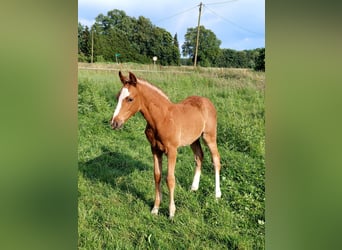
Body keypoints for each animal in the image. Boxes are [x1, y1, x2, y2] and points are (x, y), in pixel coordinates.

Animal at [110, 71, 222, 218]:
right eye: (118, 96)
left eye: (130, 99)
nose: (114, 123)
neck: (161, 119)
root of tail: (207, 101)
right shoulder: (155, 149)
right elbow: (157, 176)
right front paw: (155, 208)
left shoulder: (172, 151)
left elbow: (170, 179)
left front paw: (171, 212)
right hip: (194, 139)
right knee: (199, 156)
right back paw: (194, 188)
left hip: (209, 136)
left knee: (216, 160)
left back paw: (217, 194)